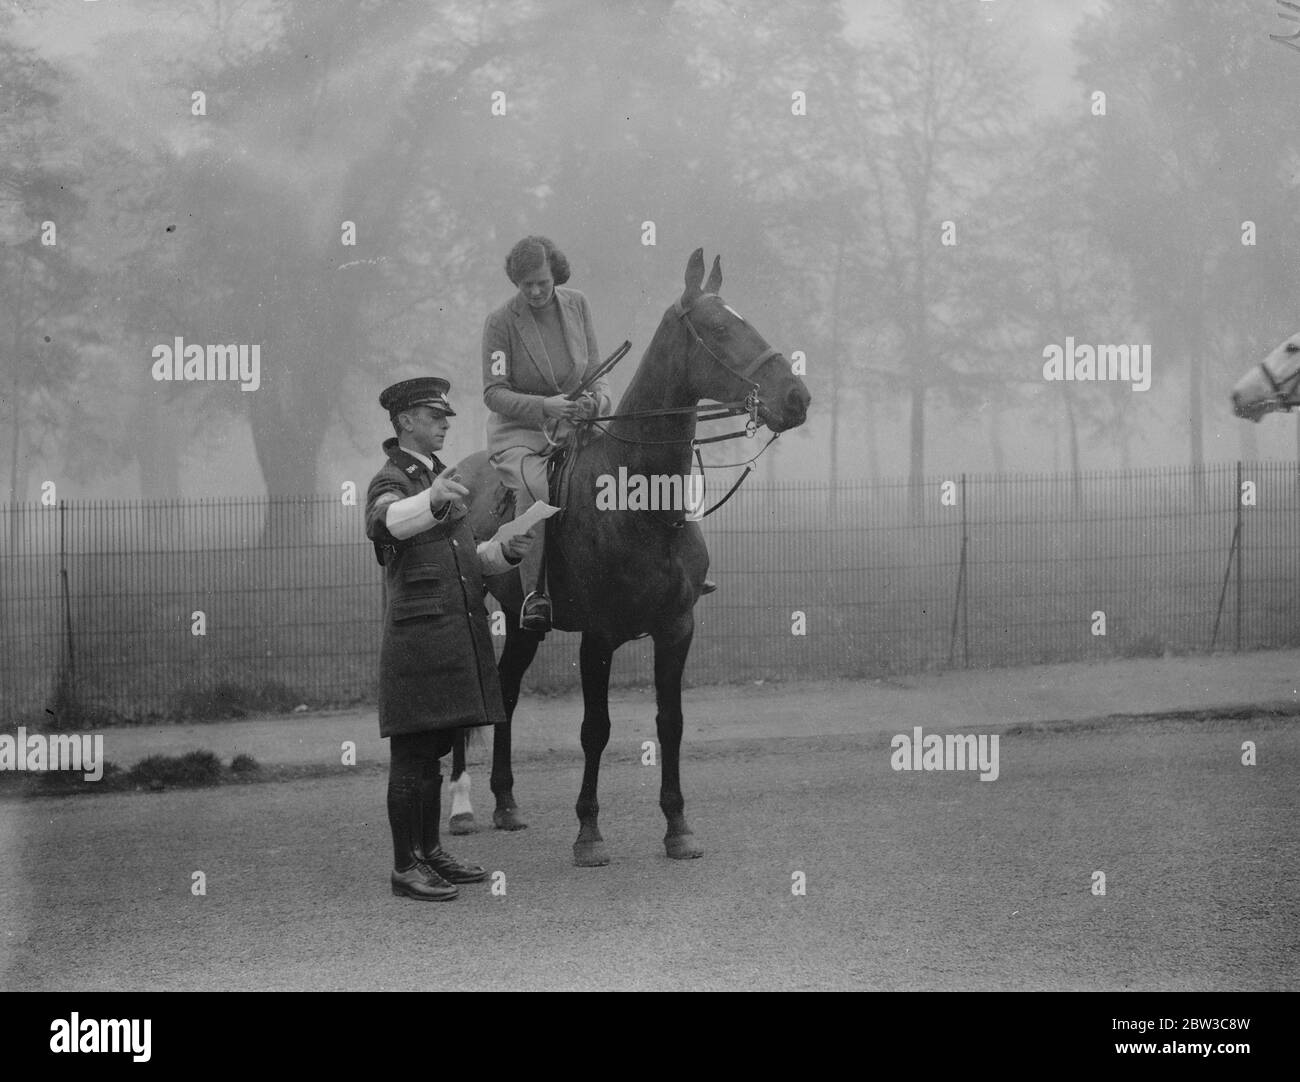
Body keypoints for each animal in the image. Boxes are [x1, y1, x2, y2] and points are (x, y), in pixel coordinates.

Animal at [452, 247, 806, 863]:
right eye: (718, 327)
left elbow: (671, 723)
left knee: (508, 692)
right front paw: (589, 833)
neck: (639, 501)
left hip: (521, 625)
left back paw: (506, 802)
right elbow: (596, 729)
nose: (796, 397)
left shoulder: (677, 629)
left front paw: (678, 826)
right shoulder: (599, 637)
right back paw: (467, 809)